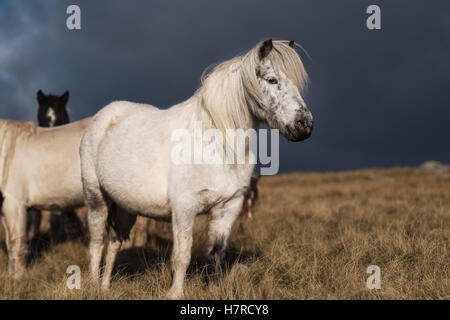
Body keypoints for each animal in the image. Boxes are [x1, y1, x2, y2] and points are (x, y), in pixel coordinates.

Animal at [80, 39, 312, 298]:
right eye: (272, 80)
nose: (305, 125)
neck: (216, 144)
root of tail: (103, 116)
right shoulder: (184, 208)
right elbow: (182, 255)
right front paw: (175, 293)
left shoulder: (228, 207)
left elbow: (216, 254)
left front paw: (214, 289)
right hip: (96, 199)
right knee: (97, 243)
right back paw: (93, 286)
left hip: (125, 207)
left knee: (114, 243)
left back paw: (105, 287)